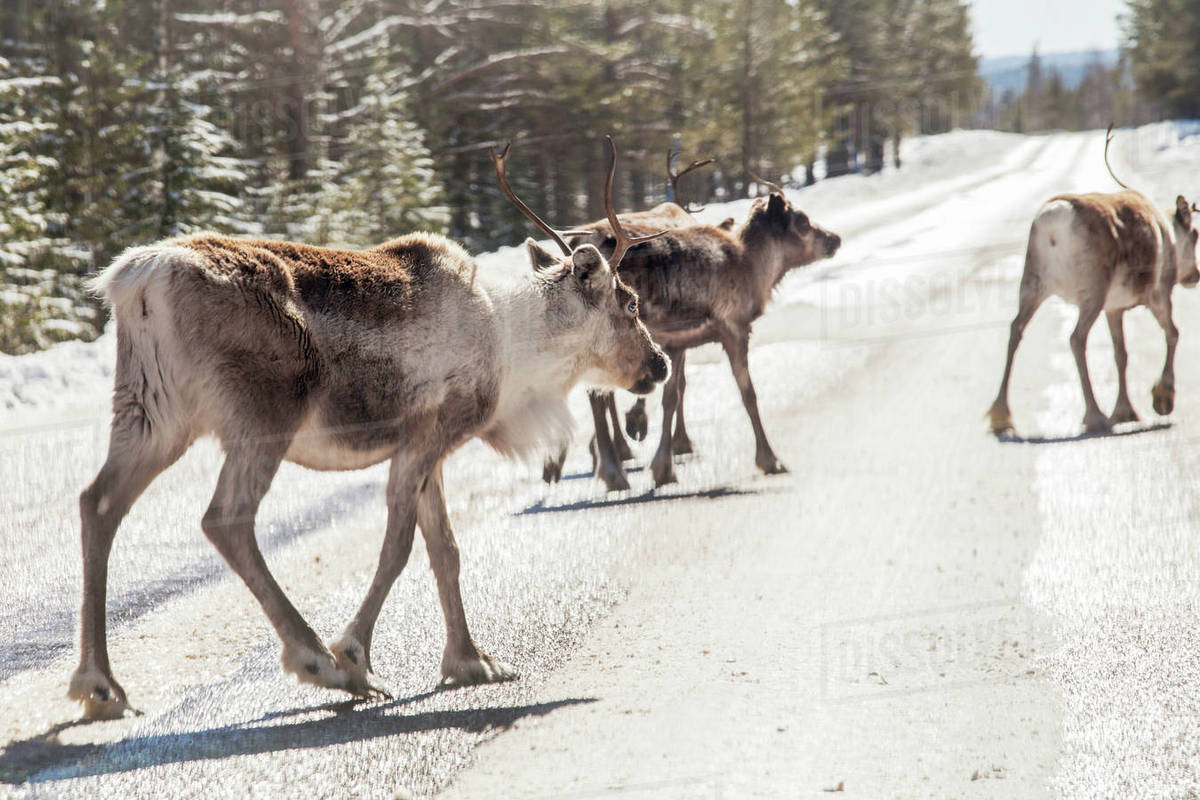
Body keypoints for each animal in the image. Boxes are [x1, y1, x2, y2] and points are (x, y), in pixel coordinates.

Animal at [69, 139, 668, 719]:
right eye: (630, 302)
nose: (658, 364)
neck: (514, 350)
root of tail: (135, 282)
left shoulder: (430, 452)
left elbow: (445, 550)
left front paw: (471, 661)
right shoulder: (429, 432)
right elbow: (399, 547)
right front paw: (356, 654)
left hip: (150, 413)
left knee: (97, 502)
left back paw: (100, 685)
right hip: (263, 414)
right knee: (225, 518)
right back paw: (317, 661)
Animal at [548, 152, 841, 491]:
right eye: (803, 221)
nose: (835, 238)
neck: (753, 268)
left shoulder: (677, 342)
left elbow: (672, 396)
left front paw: (663, 466)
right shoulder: (734, 328)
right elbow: (748, 394)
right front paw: (770, 460)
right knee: (597, 394)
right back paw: (612, 472)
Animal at [988, 126, 1200, 436]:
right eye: (1195, 235)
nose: (1194, 275)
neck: (1169, 233)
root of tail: (1054, 224)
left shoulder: (1115, 307)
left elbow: (1121, 353)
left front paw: (1125, 410)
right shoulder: (1158, 293)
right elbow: (1173, 333)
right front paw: (1162, 397)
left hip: (1033, 282)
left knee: (1016, 329)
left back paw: (1001, 414)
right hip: (1092, 290)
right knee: (1076, 338)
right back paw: (1094, 415)